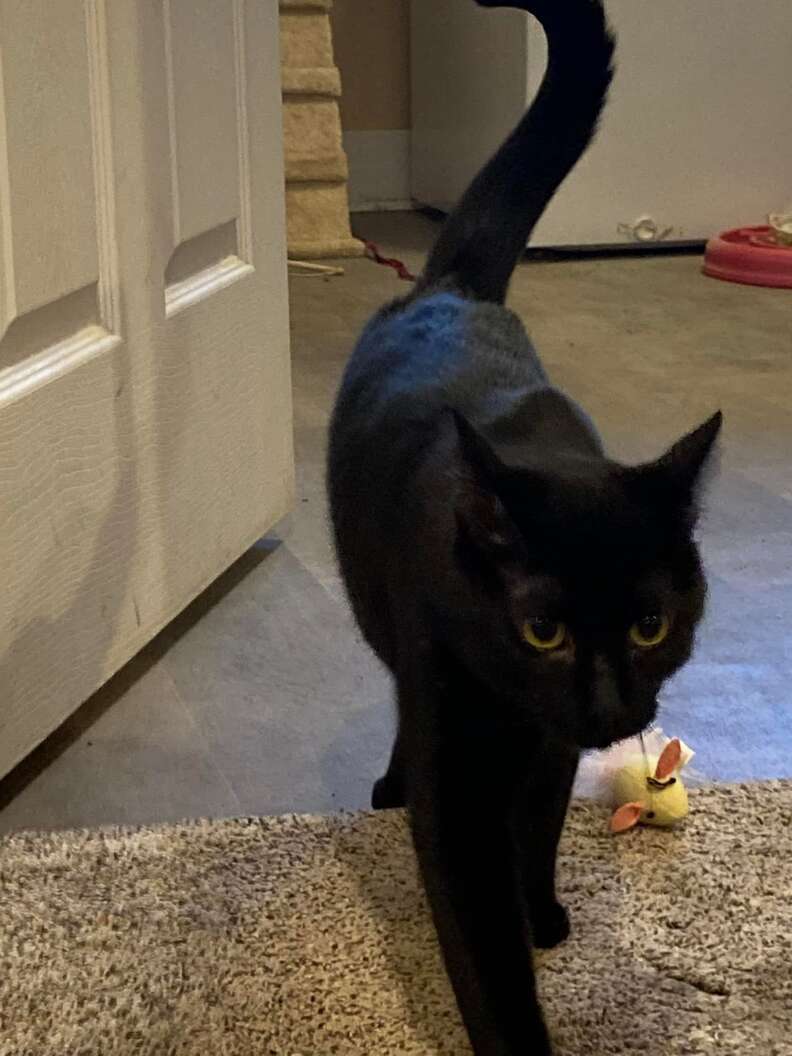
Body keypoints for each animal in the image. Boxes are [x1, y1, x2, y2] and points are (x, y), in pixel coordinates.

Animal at [325, 4, 722, 1051]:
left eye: (651, 625)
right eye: (542, 629)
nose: (612, 706)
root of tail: (454, 287)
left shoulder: (549, 754)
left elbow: (537, 830)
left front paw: (541, 913)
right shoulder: (458, 783)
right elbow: (483, 949)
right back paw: (389, 781)